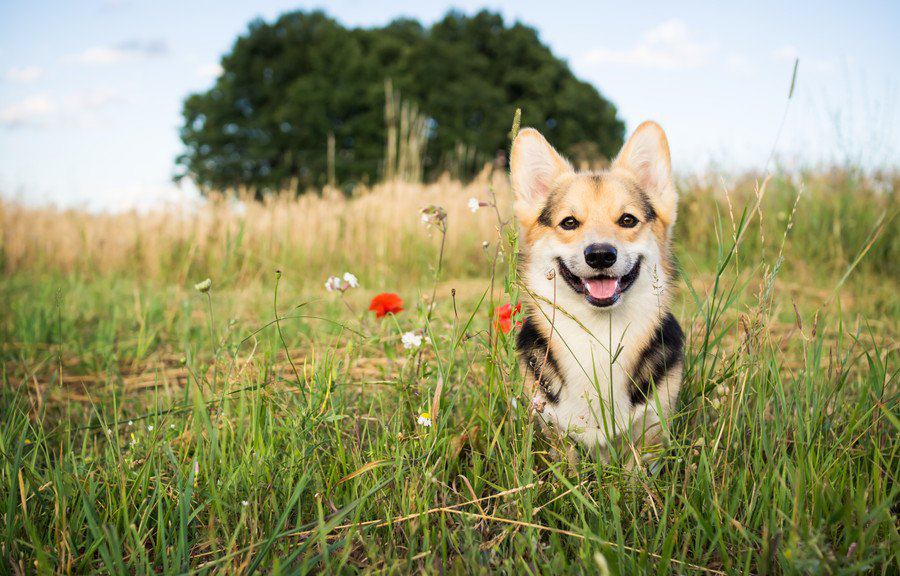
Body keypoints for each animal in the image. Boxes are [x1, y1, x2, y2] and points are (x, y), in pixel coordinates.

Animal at [510, 121, 684, 460]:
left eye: (628, 219)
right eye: (569, 223)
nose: (601, 255)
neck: (600, 335)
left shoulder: (651, 435)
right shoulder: (557, 436)